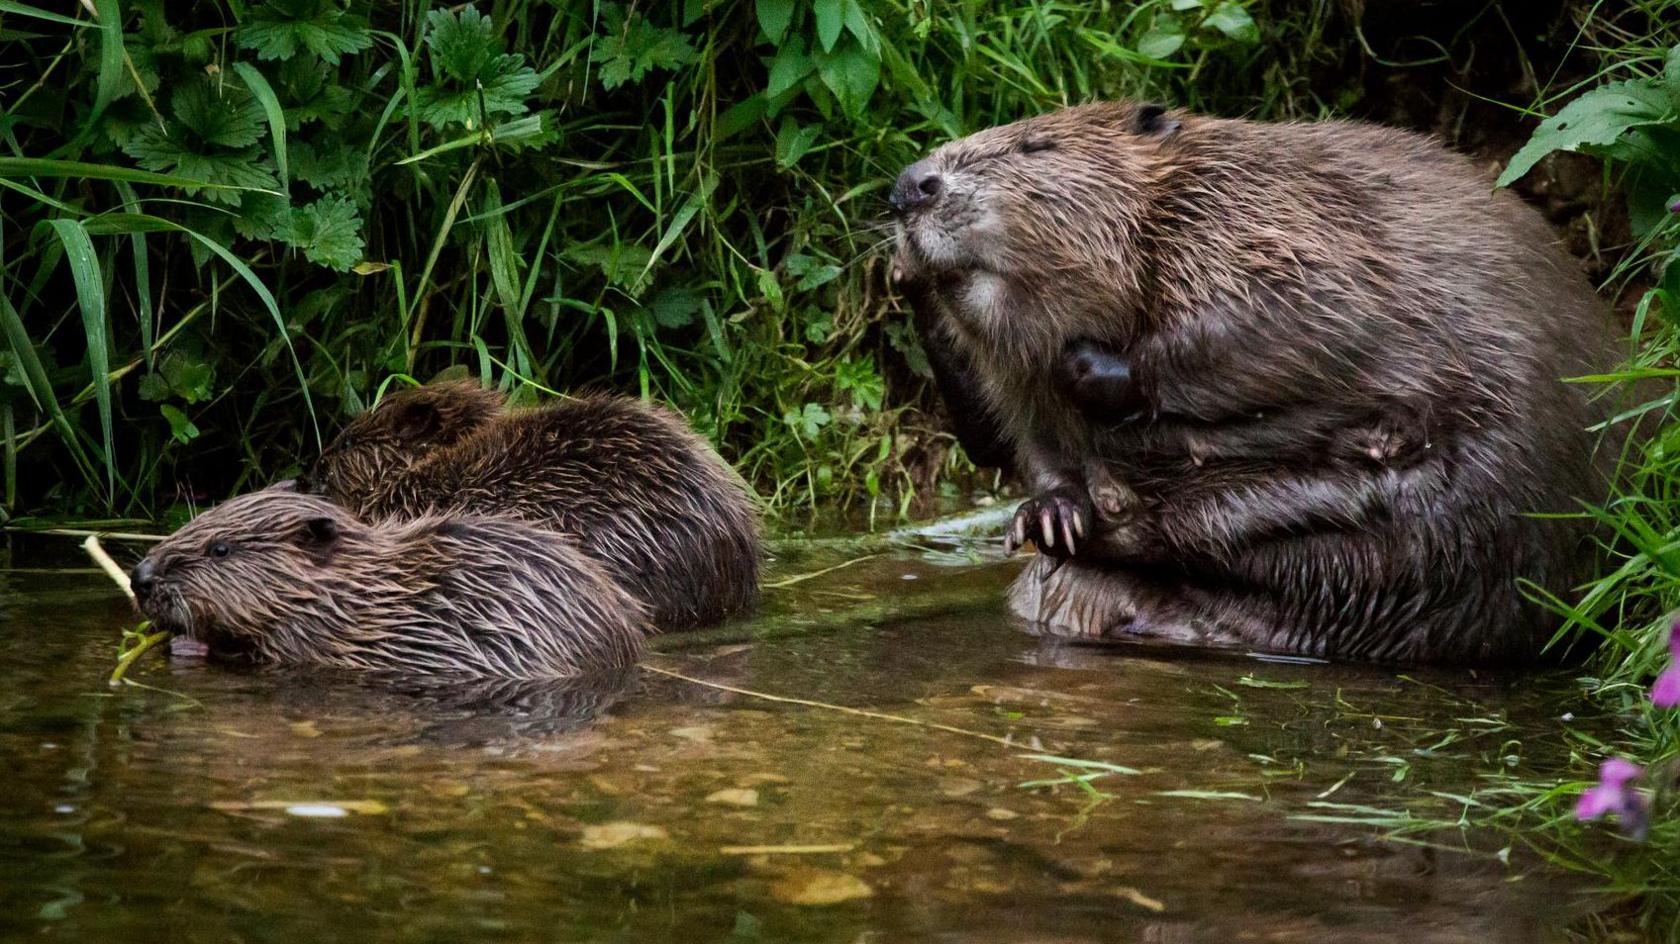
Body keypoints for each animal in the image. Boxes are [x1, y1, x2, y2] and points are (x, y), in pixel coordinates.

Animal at [893, 99, 1626, 661]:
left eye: (1034, 145)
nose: (909, 184)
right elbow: (1021, 445)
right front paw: (1050, 513)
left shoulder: (1274, 221)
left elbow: (1293, 308)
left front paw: (1091, 368)